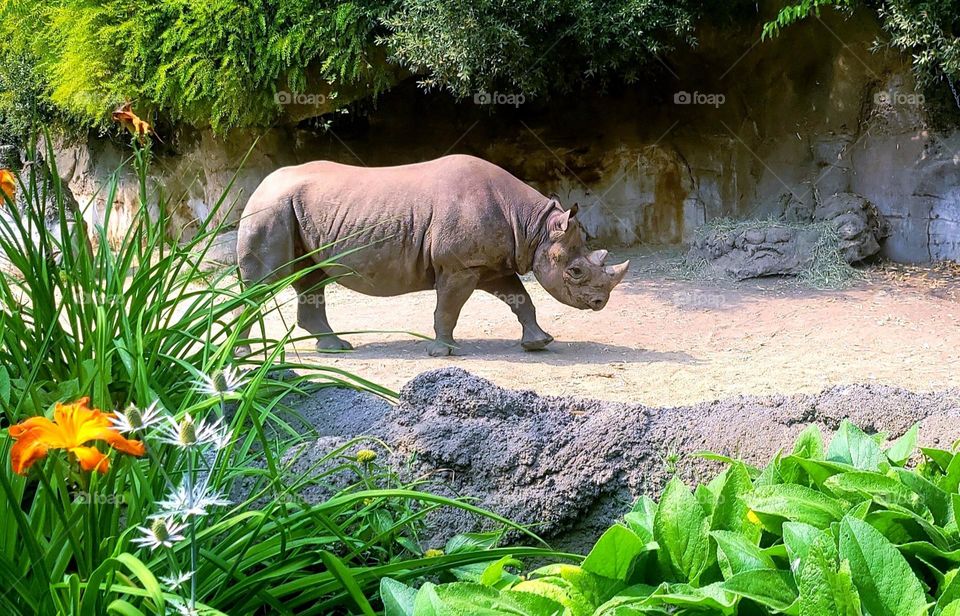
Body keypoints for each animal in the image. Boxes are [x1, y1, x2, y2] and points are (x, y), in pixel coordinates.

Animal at [236, 154, 628, 356]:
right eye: (575, 272)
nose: (599, 303)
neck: (535, 226)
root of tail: (260, 185)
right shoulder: (459, 265)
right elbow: (448, 307)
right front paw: (443, 352)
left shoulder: (488, 264)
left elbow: (521, 300)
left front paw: (539, 342)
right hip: (271, 210)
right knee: (264, 283)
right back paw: (242, 355)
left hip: (290, 209)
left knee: (310, 277)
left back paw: (335, 349)